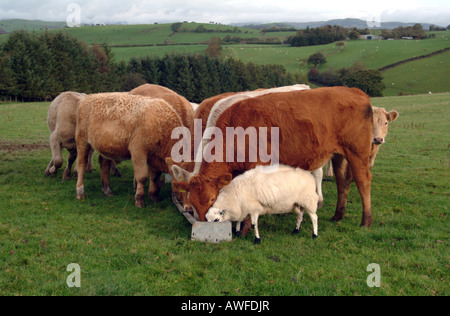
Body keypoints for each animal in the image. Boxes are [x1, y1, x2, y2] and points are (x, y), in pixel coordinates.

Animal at [174, 87, 374, 228]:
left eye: (211, 200)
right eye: (192, 201)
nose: (203, 222)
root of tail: (355, 91)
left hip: (358, 154)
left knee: (363, 182)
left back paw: (366, 220)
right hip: (339, 155)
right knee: (343, 182)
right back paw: (337, 215)